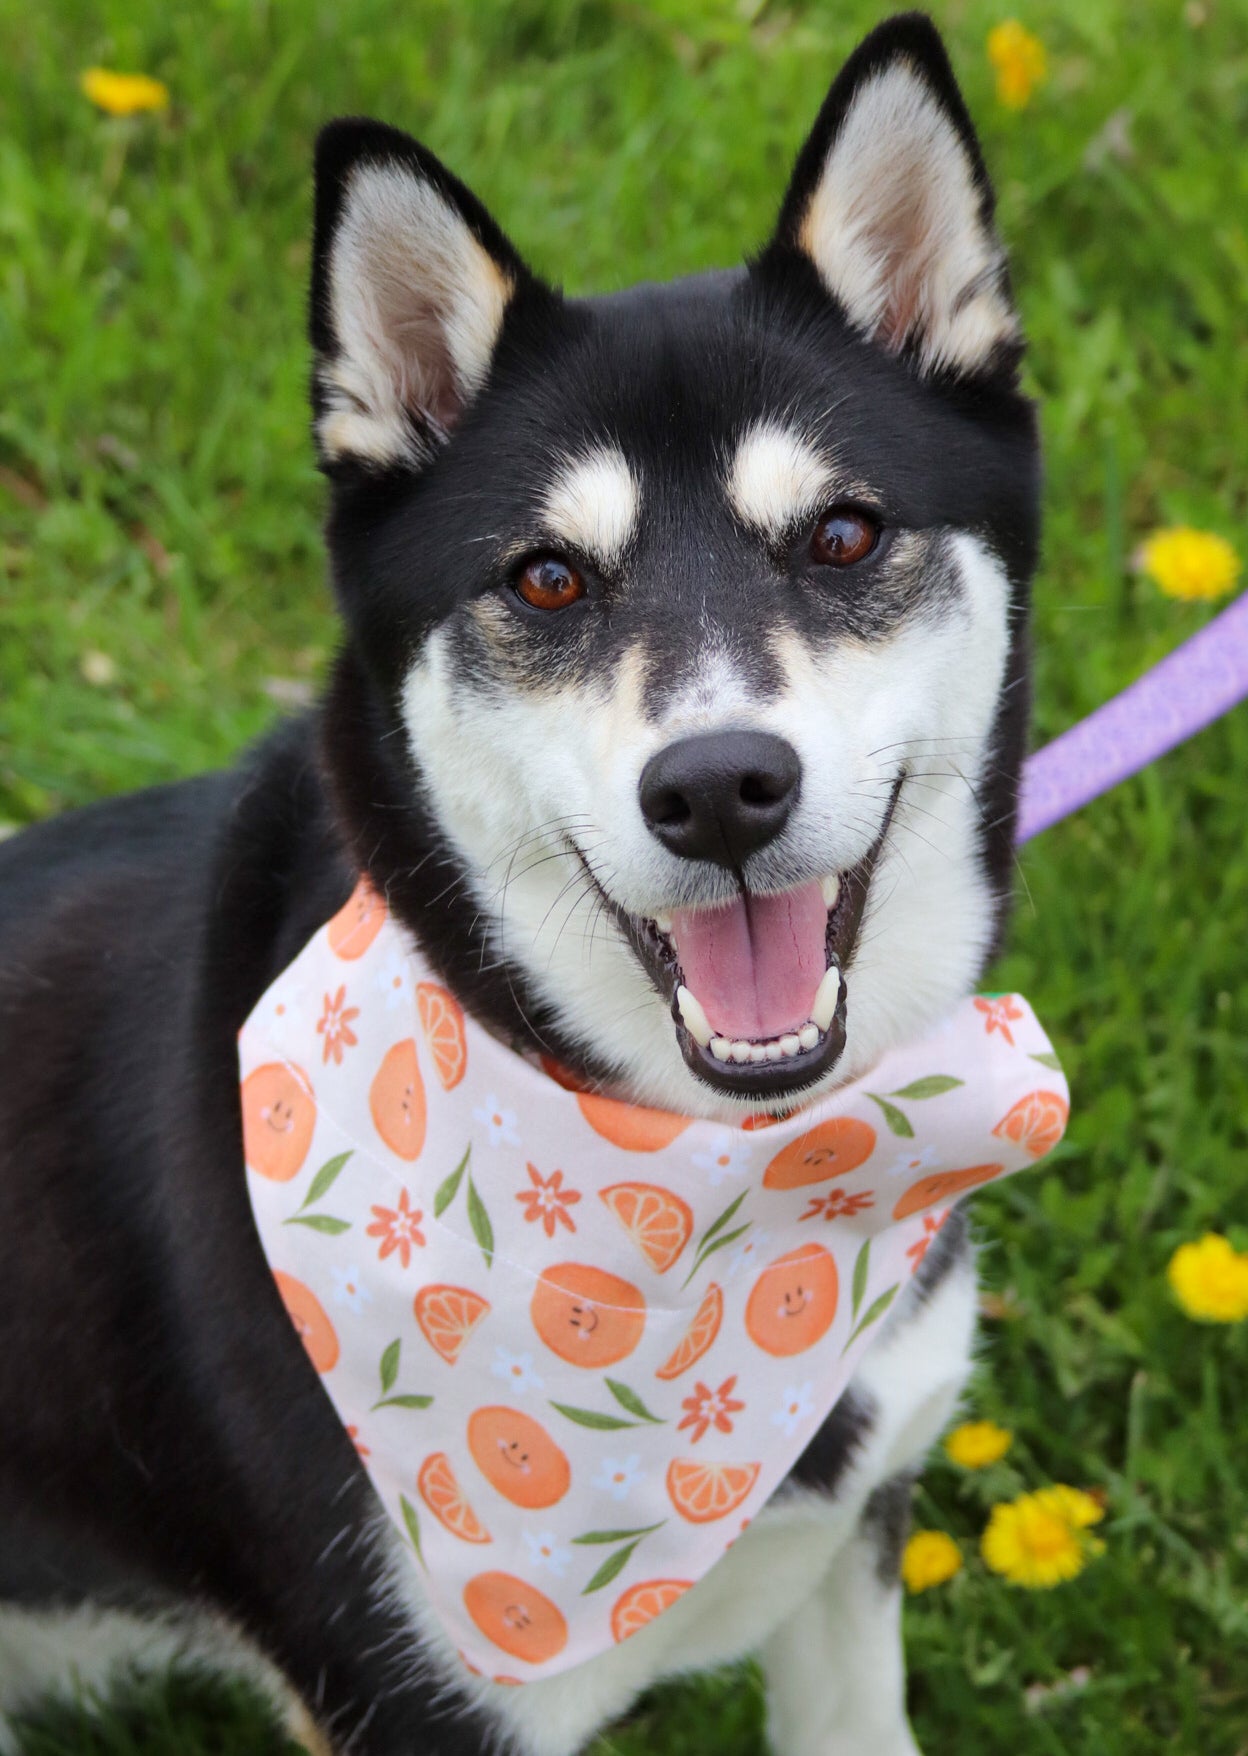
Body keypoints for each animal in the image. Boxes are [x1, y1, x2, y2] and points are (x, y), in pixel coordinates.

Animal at [0, 17, 1039, 1756]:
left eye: (842, 535)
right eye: (547, 579)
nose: (718, 789)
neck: (731, 1193)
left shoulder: (852, 1553)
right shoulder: (423, 1697)